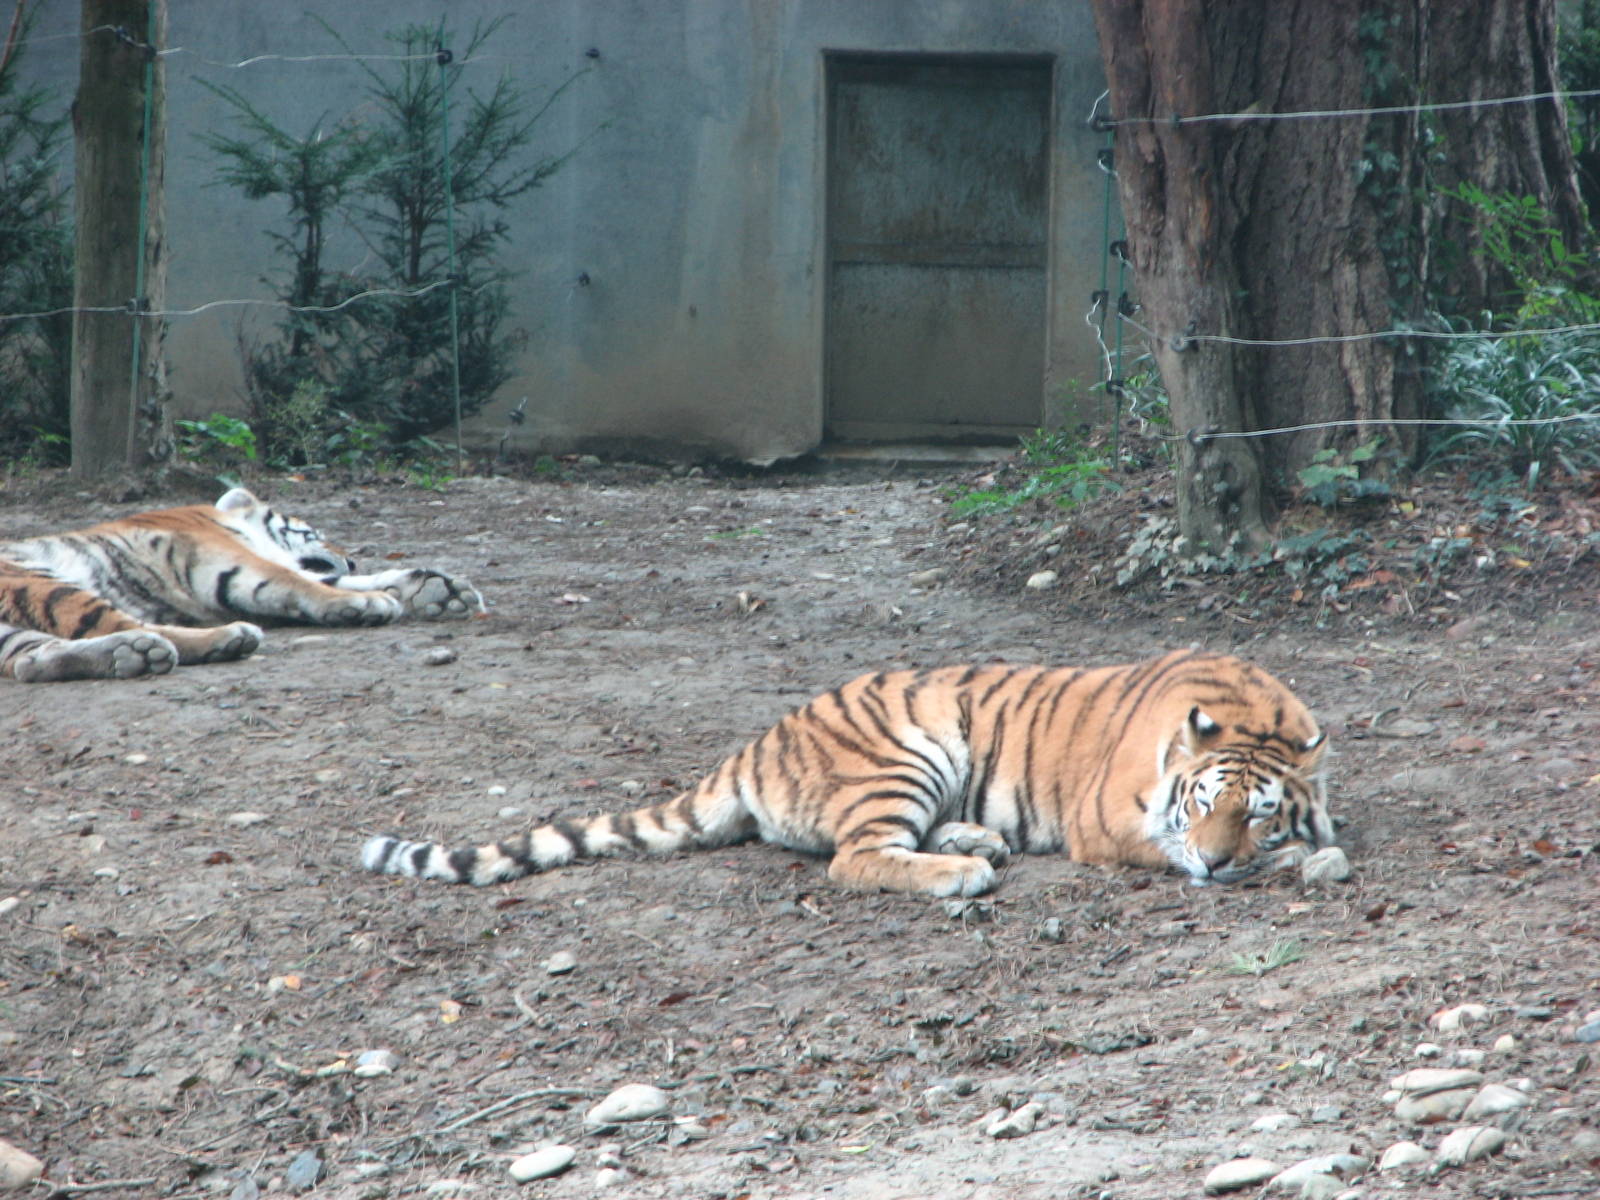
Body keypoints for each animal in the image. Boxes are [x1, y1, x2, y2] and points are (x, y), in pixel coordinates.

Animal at [1, 486, 483, 683]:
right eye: (313, 531)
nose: (351, 556)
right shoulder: (227, 557)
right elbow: (299, 579)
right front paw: (372, 604)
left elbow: (325, 579)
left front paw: (441, 590)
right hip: (39, 581)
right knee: (128, 625)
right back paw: (217, 639)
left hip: (14, 628)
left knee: (27, 661)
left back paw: (135, 655)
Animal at [363, 649, 1334, 897]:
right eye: (1204, 802)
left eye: (1256, 810)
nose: (1219, 858)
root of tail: (753, 743)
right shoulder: (1109, 823)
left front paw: (1306, 849)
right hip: (911, 749)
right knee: (854, 857)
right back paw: (963, 870)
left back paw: (979, 839)